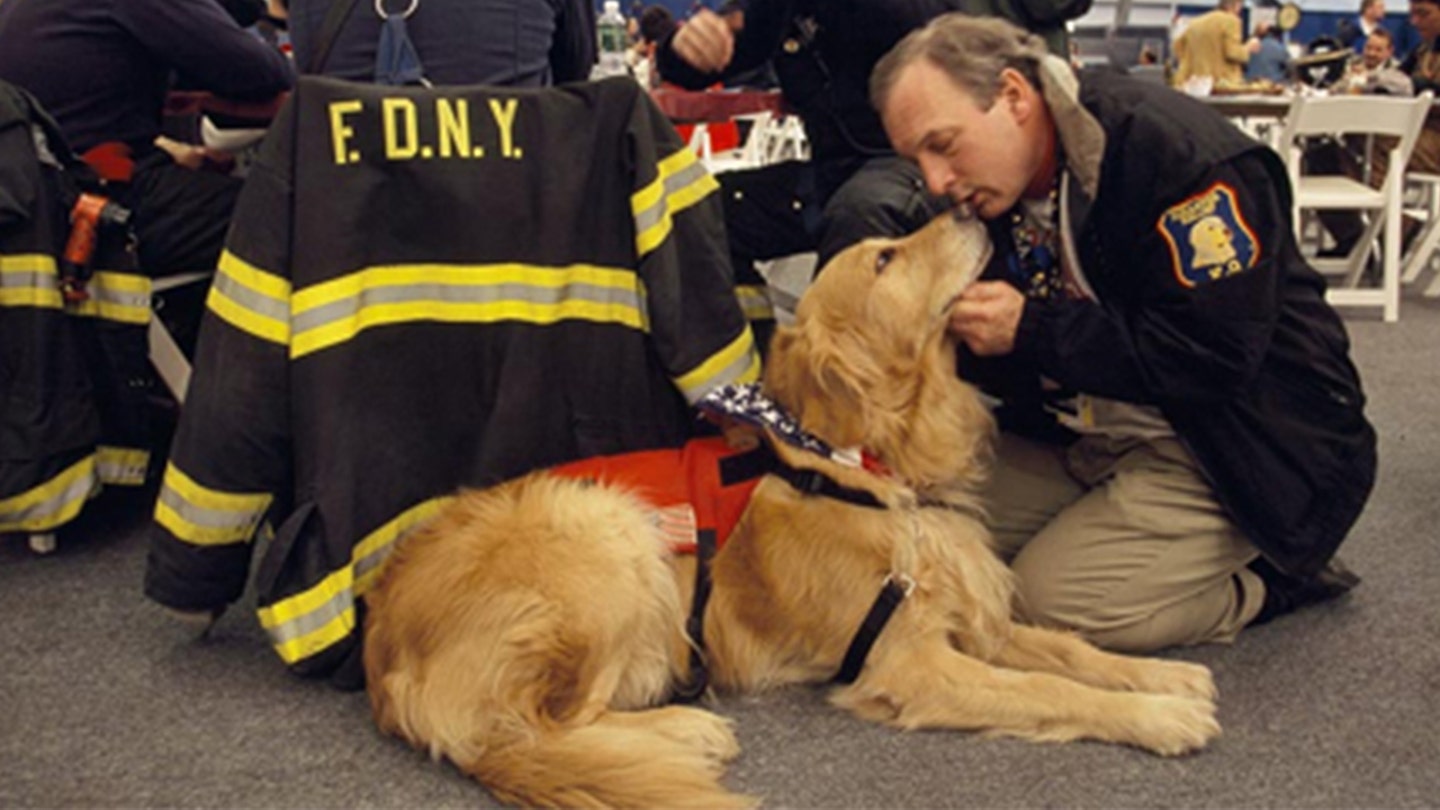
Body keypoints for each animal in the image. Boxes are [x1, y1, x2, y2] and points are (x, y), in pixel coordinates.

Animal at [360, 211, 1215, 801]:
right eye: (886, 257)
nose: (970, 209)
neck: (868, 467)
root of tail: (381, 650)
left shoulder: (971, 617)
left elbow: (1070, 651)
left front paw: (1161, 677)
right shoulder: (911, 661)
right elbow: (1048, 689)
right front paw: (1159, 719)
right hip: (609, 535)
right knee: (544, 732)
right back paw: (685, 729)